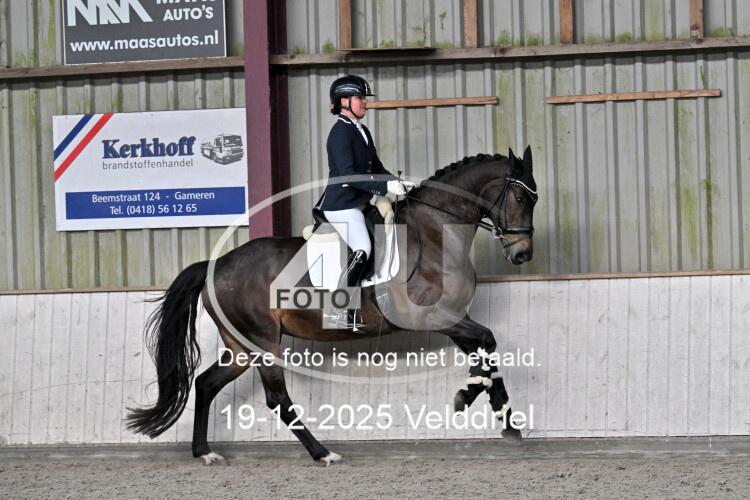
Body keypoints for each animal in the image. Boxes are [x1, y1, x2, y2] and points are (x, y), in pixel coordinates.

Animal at [126, 147, 538, 465]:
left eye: (533, 199)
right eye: (521, 198)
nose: (522, 254)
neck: (434, 233)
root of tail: (217, 265)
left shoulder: (453, 319)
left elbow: (487, 350)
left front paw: (505, 420)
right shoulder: (434, 317)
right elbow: (487, 341)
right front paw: (467, 398)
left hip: (241, 347)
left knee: (206, 383)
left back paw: (205, 452)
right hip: (263, 342)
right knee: (277, 398)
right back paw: (323, 453)